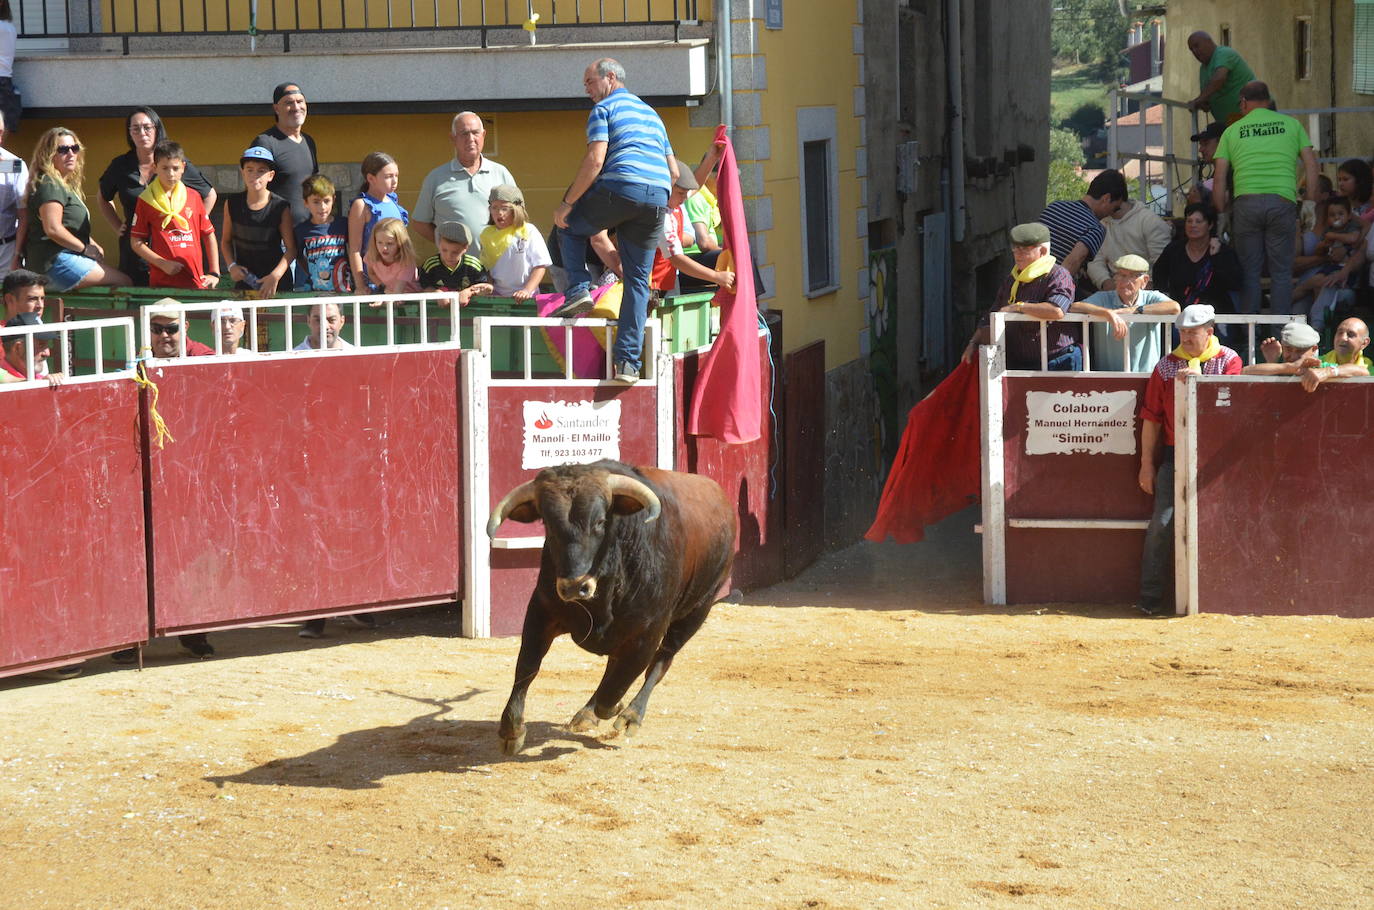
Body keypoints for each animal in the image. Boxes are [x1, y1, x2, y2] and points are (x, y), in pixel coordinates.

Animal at [486, 464, 736, 753]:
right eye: (547, 523)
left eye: (600, 522)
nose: (575, 586)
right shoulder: (541, 611)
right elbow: (527, 665)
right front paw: (511, 730)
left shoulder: (647, 634)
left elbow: (618, 686)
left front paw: (615, 708)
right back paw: (589, 713)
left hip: (695, 612)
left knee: (660, 663)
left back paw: (631, 716)